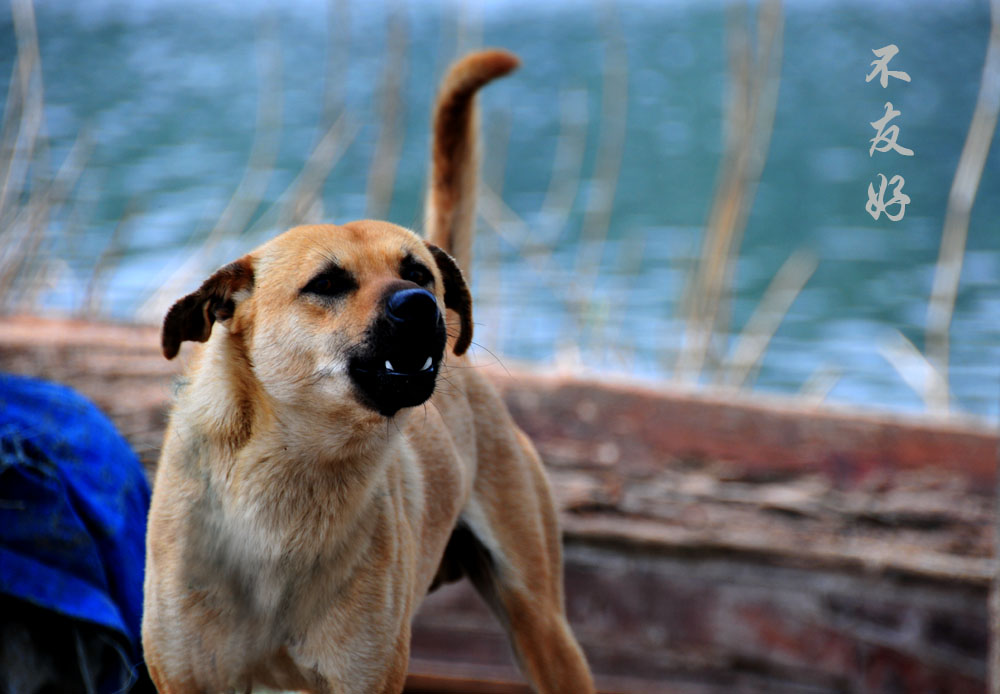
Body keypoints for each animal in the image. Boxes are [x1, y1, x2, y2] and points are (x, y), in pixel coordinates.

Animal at [141, 50, 592, 694]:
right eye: (327, 283)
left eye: (419, 272)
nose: (423, 307)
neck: (293, 477)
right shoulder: (186, 675)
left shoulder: (364, 674)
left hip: (543, 626)